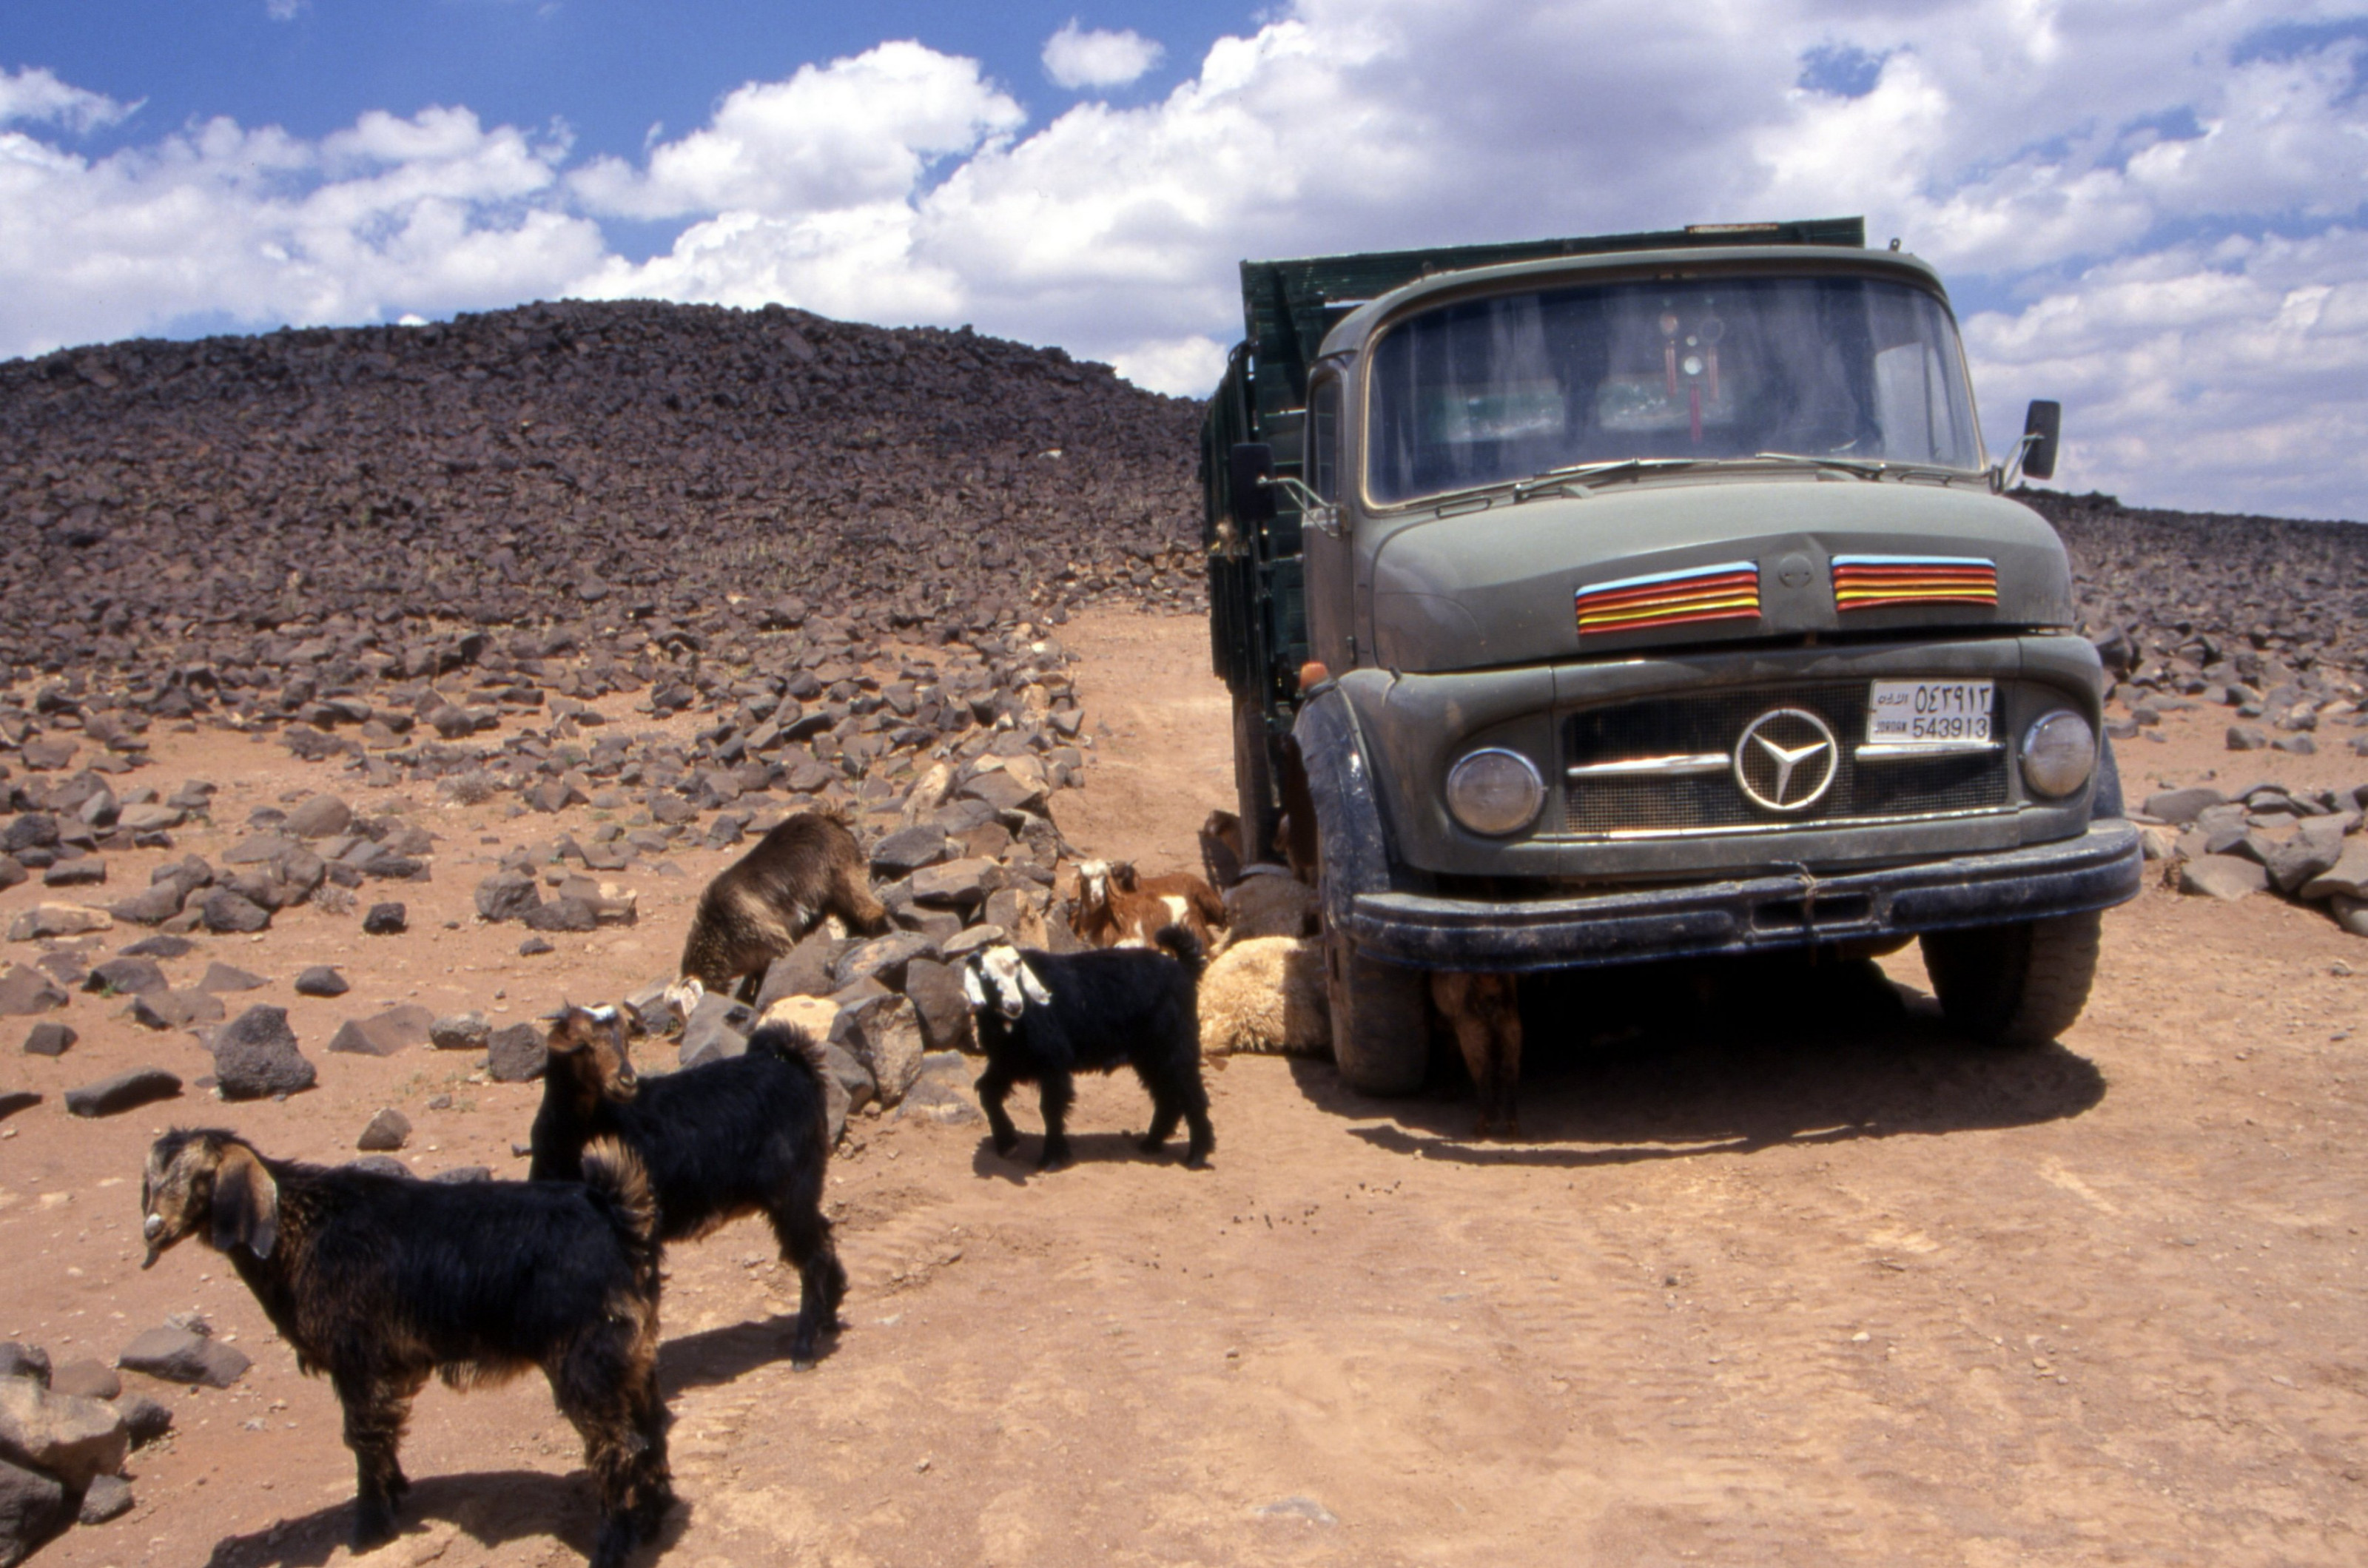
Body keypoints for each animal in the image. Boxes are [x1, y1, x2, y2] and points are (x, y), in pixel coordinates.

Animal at [533, 1013, 847, 1373]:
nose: (626, 1080)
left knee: (813, 1255)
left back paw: (804, 1347)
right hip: (803, 1190)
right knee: (824, 1235)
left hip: (792, 1190)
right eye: (582, 1044)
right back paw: (828, 1315)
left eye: (625, 1039)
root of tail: (794, 1065)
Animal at [677, 810, 890, 1009]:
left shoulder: (772, 938)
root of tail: (831, 818)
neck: (720, 928)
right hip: (834, 898)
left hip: (844, 875)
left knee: (868, 907)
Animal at [956, 928, 1212, 1174]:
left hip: (1176, 1047)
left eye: (1018, 975)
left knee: (1192, 1095)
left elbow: (1050, 1108)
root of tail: (1183, 968)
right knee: (1168, 1097)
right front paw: (1007, 1143)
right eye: (987, 978)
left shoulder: (1053, 1063)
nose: (1014, 1006)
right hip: (1151, 1057)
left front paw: (1052, 1158)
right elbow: (987, 1091)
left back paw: (1197, 1156)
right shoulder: (1007, 1062)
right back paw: (1151, 1144)